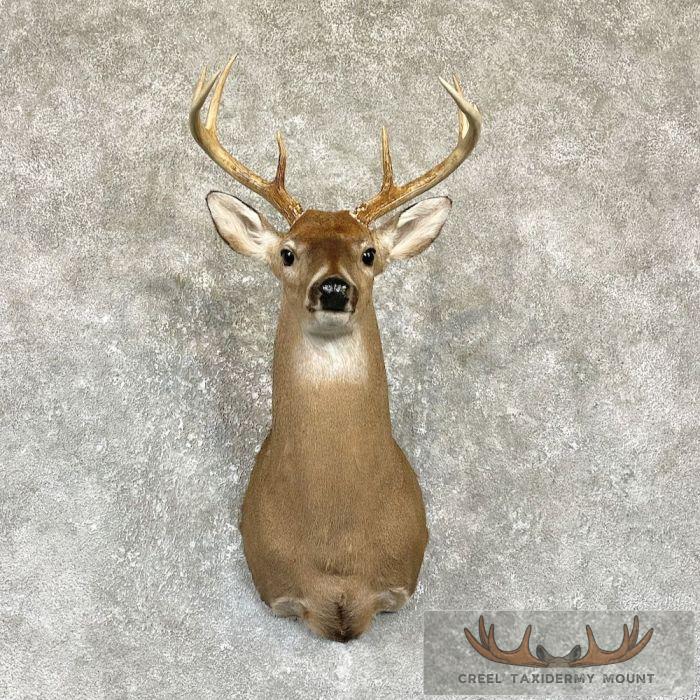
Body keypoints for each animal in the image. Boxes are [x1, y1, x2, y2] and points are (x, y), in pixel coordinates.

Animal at [189, 55, 481, 642]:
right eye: (287, 252)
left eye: (368, 252)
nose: (332, 288)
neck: (337, 547)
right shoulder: (280, 591)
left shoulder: (396, 583)